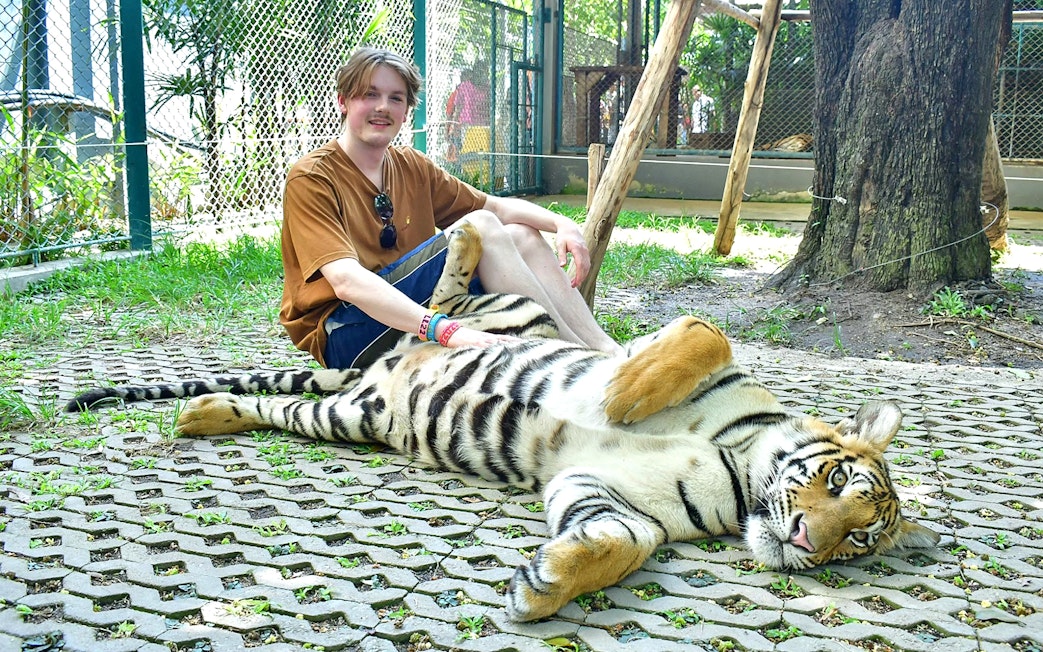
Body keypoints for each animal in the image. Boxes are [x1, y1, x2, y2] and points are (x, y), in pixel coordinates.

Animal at [67, 222, 940, 622]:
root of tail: (374, 370)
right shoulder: (704, 366)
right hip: (502, 313)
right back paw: (468, 232)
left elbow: (624, 539)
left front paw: (545, 586)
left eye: (858, 540)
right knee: (445, 296)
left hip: (353, 416)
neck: (739, 472)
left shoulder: (606, 490)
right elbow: (701, 334)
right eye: (835, 477)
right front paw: (622, 395)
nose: (805, 542)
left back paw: (201, 413)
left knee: (280, 404)